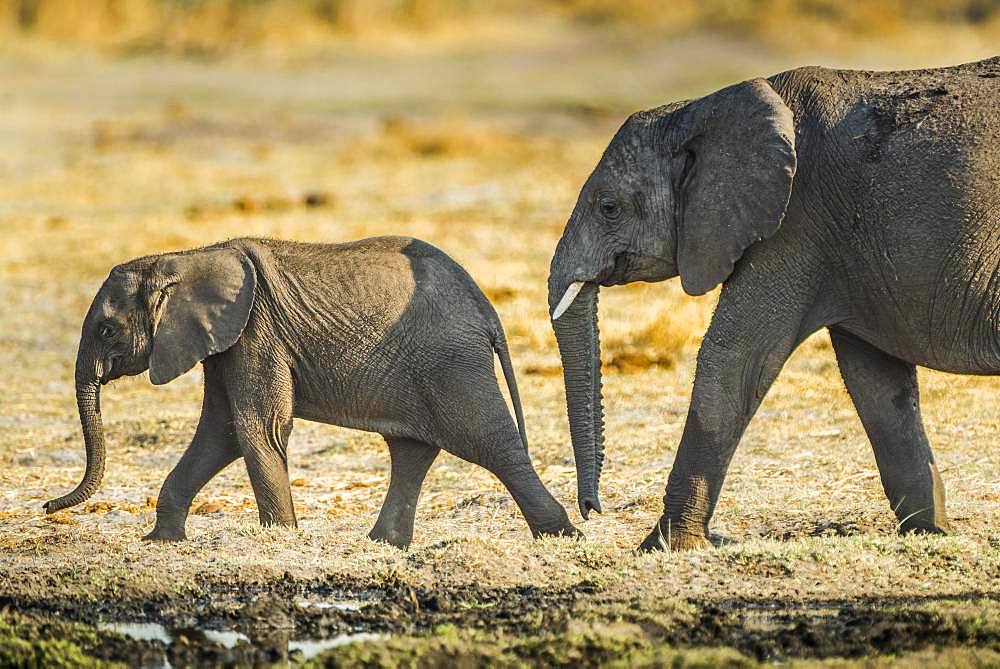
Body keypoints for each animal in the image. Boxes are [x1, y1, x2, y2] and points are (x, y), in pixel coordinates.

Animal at [47, 237, 580, 544]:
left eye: (107, 330)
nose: (48, 506)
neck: (186, 258)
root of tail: (486, 307)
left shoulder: (256, 330)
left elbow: (255, 426)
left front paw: (281, 537)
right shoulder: (226, 340)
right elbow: (221, 431)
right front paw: (160, 541)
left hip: (452, 361)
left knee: (490, 442)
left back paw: (561, 536)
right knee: (413, 449)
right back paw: (382, 544)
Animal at [548, 56, 1000, 548]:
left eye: (608, 207)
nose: (590, 511)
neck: (702, 110)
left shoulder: (795, 221)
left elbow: (734, 357)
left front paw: (662, 547)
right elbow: (876, 383)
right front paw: (929, 533)